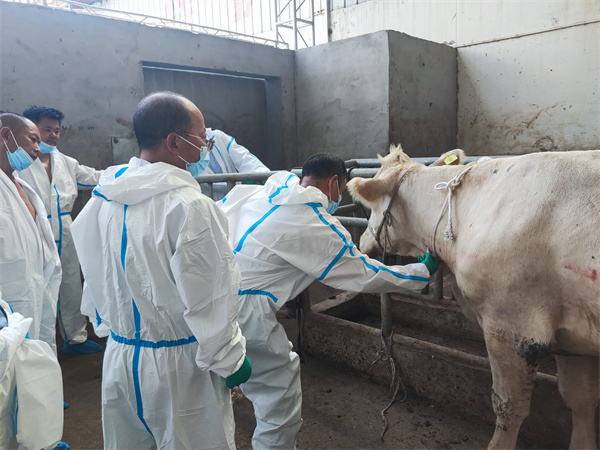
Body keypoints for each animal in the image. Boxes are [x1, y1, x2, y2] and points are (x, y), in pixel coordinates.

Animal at [347, 144, 600, 449]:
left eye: (371, 207)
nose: (361, 242)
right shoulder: (572, 334)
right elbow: (581, 399)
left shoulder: (511, 326)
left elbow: (509, 406)